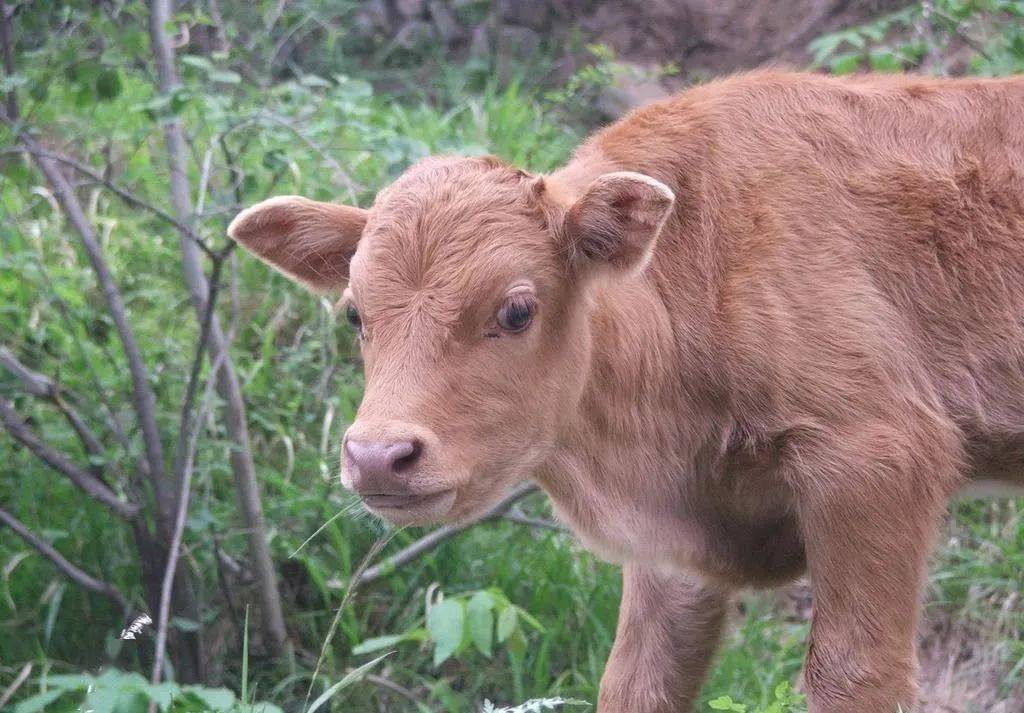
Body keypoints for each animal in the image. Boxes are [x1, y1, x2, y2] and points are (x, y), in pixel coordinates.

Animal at [230, 71, 1024, 713]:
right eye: (355, 313)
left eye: (516, 310)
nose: (378, 455)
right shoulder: (673, 559)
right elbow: (636, 680)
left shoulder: (877, 461)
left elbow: (850, 672)